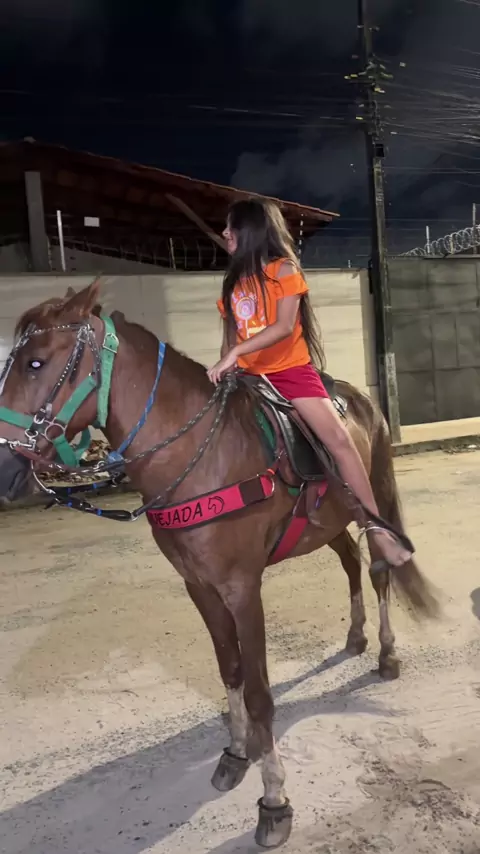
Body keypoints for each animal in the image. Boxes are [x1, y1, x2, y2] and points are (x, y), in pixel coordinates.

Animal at [0, 281, 439, 849]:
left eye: (35, 362)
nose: (3, 467)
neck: (200, 456)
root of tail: (361, 401)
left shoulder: (242, 588)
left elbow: (259, 692)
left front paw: (274, 801)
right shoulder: (199, 586)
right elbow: (229, 669)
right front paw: (235, 752)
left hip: (376, 494)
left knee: (381, 569)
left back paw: (386, 652)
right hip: (327, 522)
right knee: (349, 561)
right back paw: (356, 635)